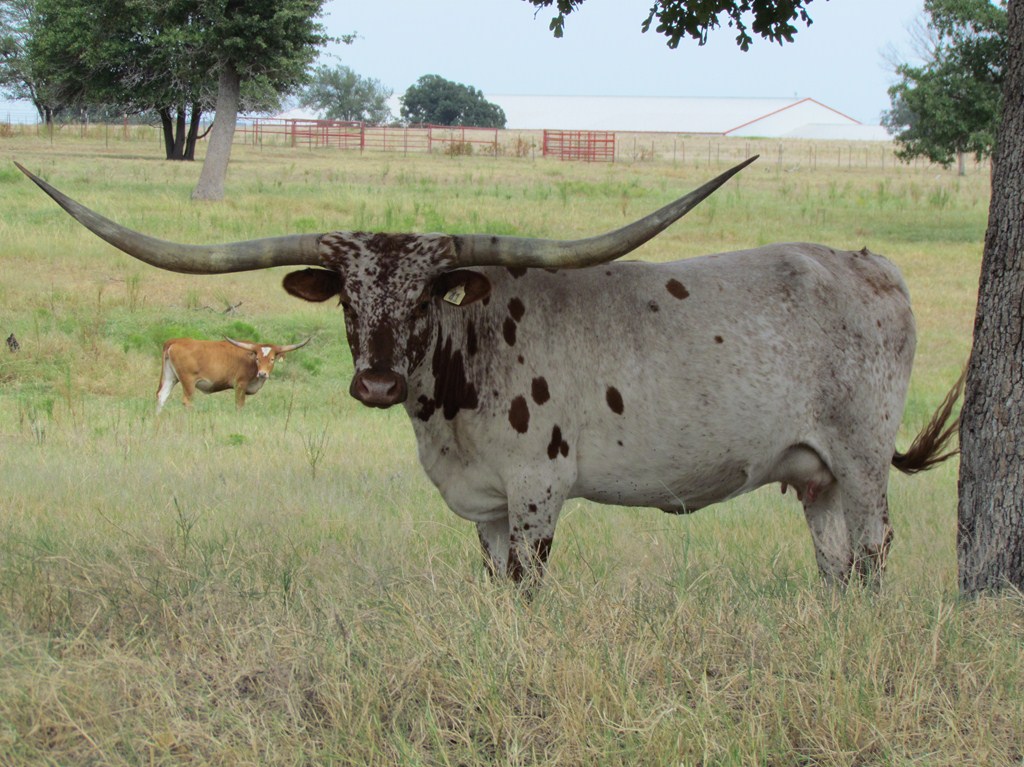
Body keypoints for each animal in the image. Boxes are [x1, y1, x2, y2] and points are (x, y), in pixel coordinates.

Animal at [156, 336, 310, 412]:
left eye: (272, 359)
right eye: (258, 358)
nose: (262, 374)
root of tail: (175, 341)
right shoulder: (240, 385)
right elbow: (239, 406)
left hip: (170, 378)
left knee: (161, 396)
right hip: (188, 381)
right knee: (187, 401)